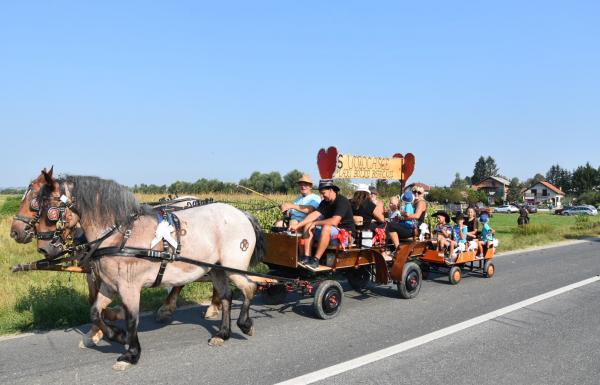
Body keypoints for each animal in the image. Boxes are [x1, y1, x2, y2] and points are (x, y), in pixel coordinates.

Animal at [34, 171, 264, 368]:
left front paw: (131, 354)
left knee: (249, 288)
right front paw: (118, 336)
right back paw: (222, 334)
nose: (43, 248)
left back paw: (244, 324)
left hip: (233, 267)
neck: (119, 235)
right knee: (227, 295)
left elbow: (131, 319)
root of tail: (242, 214)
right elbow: (95, 312)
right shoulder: (109, 285)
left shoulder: (129, 287)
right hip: (217, 269)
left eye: (49, 209)